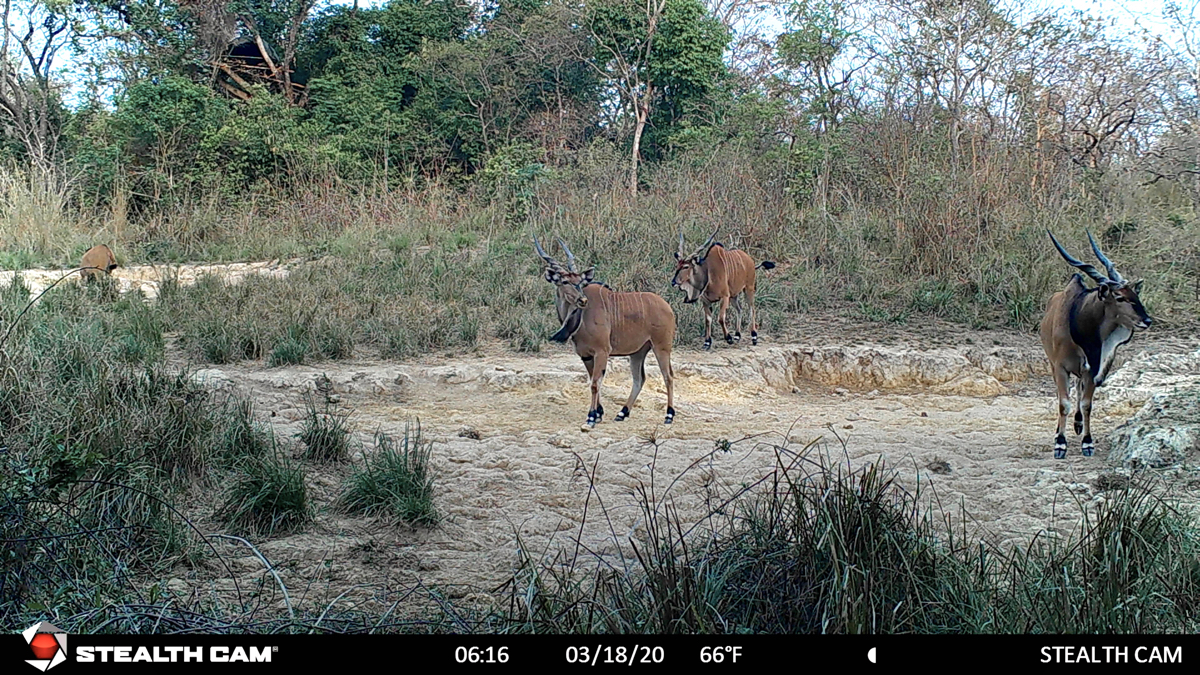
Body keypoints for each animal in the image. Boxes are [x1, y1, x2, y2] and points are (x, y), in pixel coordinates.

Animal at [535, 234, 676, 427]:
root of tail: (667, 307)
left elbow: (595, 383)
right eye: (564, 281)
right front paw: (598, 413)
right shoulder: (586, 355)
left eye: (580, 282)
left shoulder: (602, 351)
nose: (582, 300)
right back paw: (622, 413)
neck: (581, 317)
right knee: (639, 379)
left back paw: (669, 415)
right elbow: (595, 381)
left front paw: (591, 417)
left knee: (668, 376)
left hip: (661, 347)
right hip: (638, 352)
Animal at [1041, 229, 1152, 456]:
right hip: (1054, 365)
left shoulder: (1093, 368)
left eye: (1135, 294)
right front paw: (1060, 443)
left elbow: (1086, 404)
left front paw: (1087, 442)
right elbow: (1063, 403)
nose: (1147, 320)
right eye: (1119, 297)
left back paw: (1078, 424)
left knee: (1079, 389)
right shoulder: (1060, 367)